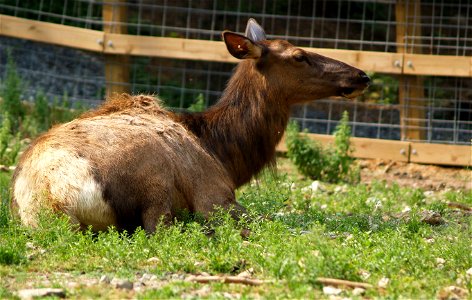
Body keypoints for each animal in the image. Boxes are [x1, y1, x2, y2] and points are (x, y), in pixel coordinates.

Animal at [11, 19, 370, 234]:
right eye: (298, 55)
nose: (361, 76)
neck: (224, 153)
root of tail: (52, 201)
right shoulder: (215, 194)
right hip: (155, 180)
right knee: (162, 226)